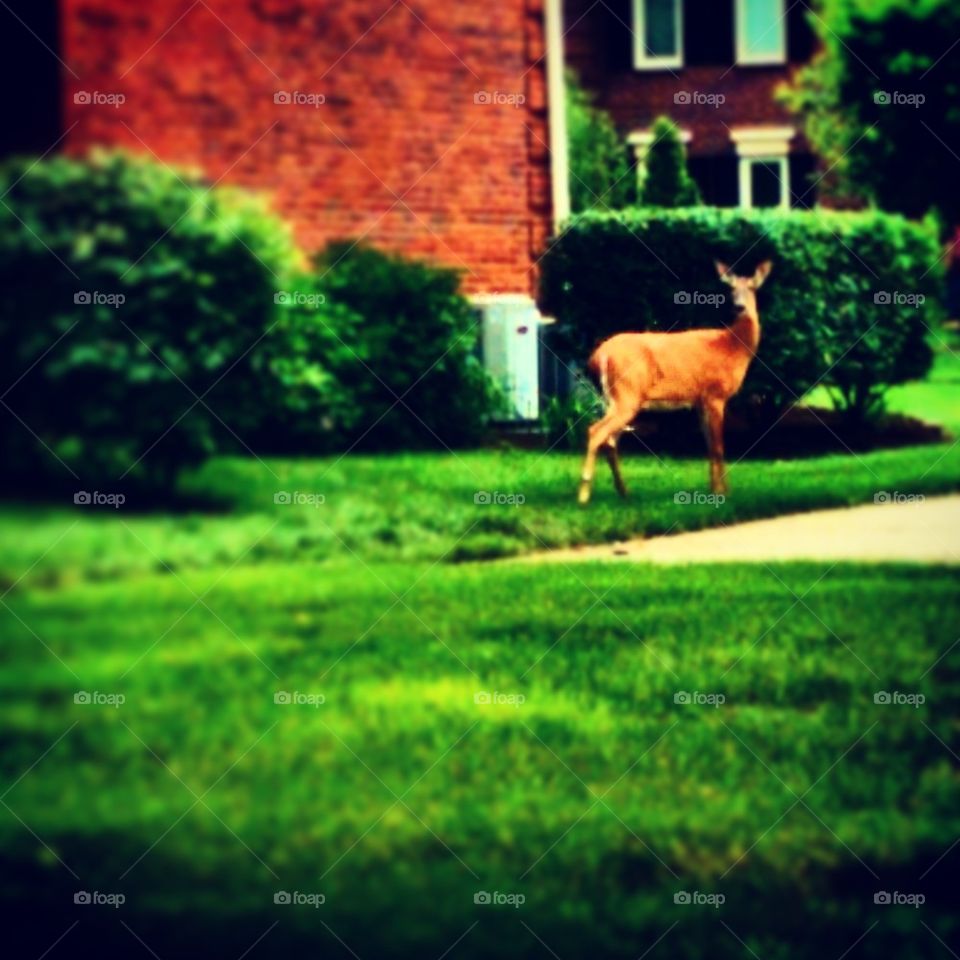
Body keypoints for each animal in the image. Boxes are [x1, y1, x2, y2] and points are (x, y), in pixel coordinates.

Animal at [577, 260, 773, 505]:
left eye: (752, 287)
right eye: (731, 288)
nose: (739, 306)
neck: (733, 347)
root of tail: (598, 356)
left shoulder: (700, 400)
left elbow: (709, 445)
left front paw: (713, 490)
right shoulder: (715, 394)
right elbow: (719, 446)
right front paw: (724, 493)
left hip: (614, 397)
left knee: (610, 440)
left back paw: (624, 492)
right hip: (626, 393)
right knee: (596, 431)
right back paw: (584, 495)